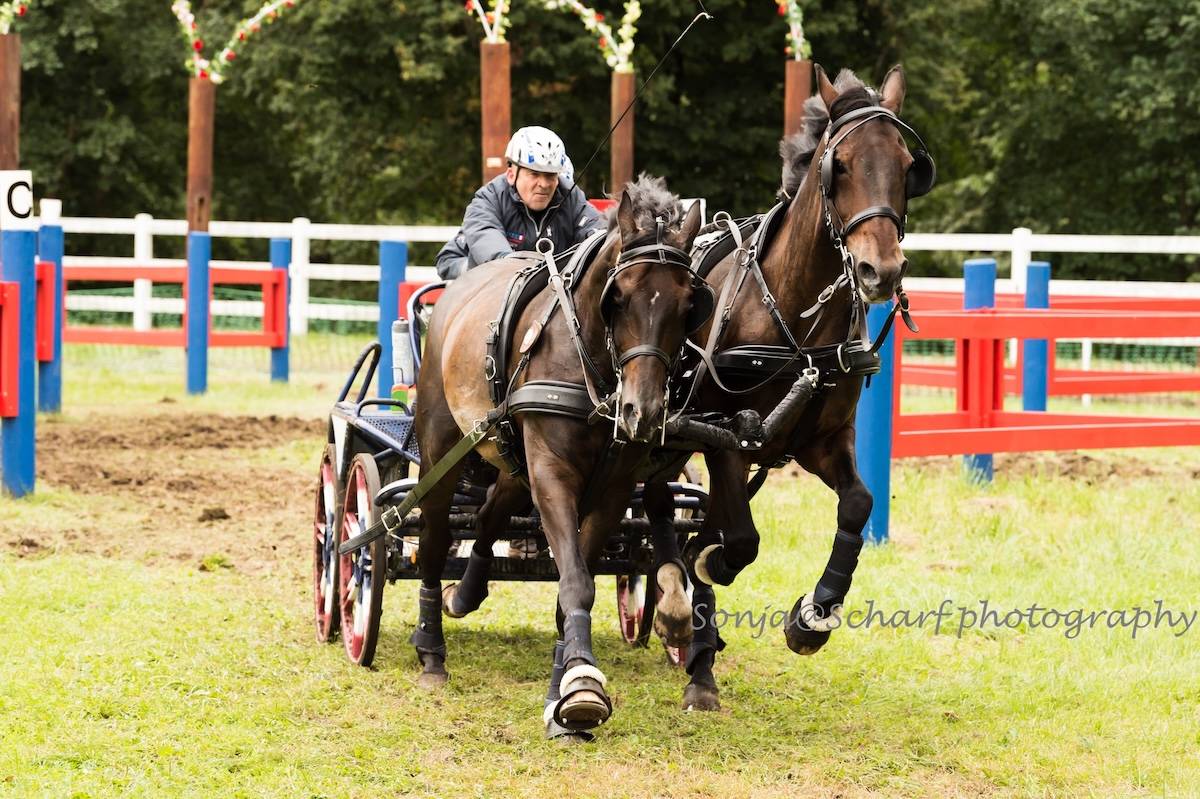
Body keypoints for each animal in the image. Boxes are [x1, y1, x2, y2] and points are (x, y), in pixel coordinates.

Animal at [412, 177, 710, 739]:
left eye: (690, 304)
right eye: (619, 296)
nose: (643, 411)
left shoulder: (612, 488)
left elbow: (576, 583)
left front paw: (565, 684)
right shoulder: (552, 473)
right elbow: (573, 580)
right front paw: (582, 688)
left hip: (512, 453)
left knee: (490, 514)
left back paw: (465, 594)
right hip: (442, 449)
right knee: (435, 539)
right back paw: (431, 649)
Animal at [648, 65, 936, 705]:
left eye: (909, 164)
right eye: (840, 165)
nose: (882, 271)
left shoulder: (821, 441)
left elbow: (858, 504)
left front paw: (813, 615)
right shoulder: (725, 438)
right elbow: (739, 540)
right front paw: (706, 566)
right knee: (653, 503)